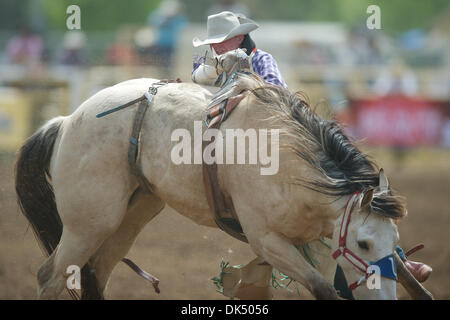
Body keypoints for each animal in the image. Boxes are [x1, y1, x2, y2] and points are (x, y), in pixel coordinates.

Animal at [14, 71, 432, 298]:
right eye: (363, 243)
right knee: (50, 277)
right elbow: (325, 290)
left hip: (132, 214)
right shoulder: (268, 240)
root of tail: (66, 121)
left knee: (96, 273)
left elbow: (409, 283)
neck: (286, 158)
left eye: (394, 241)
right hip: (88, 223)